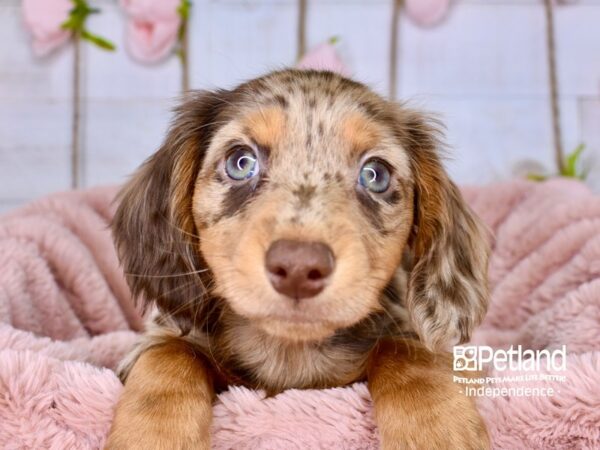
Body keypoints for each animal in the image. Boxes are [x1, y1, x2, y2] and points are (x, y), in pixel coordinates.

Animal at [105, 68, 490, 448]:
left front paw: (436, 427)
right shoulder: (159, 339)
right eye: (240, 162)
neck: (289, 352)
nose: (298, 268)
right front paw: (155, 436)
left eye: (375, 174)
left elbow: (409, 355)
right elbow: (169, 354)